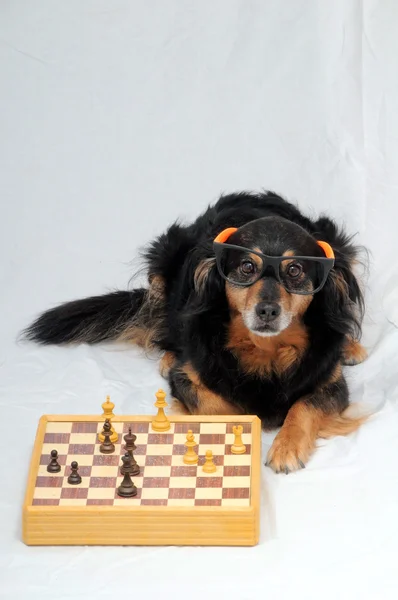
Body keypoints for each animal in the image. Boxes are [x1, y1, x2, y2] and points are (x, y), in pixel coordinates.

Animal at [23, 192, 368, 474]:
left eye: (295, 270)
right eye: (246, 267)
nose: (267, 311)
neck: (264, 349)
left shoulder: (331, 383)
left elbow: (304, 407)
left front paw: (286, 447)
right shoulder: (187, 378)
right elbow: (213, 405)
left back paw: (351, 347)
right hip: (162, 261)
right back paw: (167, 355)